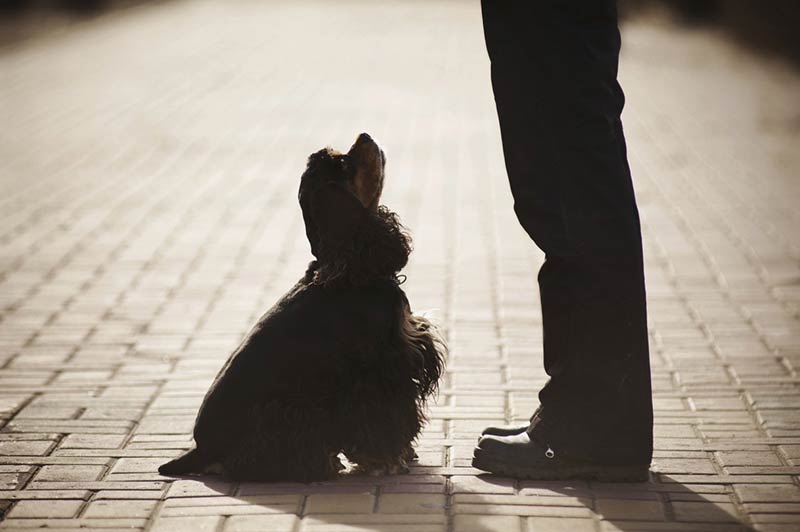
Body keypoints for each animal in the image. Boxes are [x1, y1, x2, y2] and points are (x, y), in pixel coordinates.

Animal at [156, 133, 444, 482]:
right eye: (343, 162)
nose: (365, 135)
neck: (352, 268)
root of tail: (201, 450)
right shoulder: (379, 369)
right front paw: (386, 460)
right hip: (287, 413)